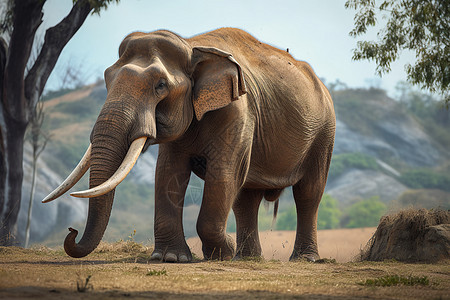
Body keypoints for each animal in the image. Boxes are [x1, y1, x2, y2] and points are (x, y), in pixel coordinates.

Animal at [44, 27, 336, 262]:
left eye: (161, 85)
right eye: (106, 79)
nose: (72, 230)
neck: (191, 44)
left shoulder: (238, 111)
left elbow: (224, 174)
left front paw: (220, 254)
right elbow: (168, 172)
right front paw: (171, 258)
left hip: (324, 132)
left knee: (308, 192)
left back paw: (303, 259)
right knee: (246, 197)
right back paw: (247, 258)